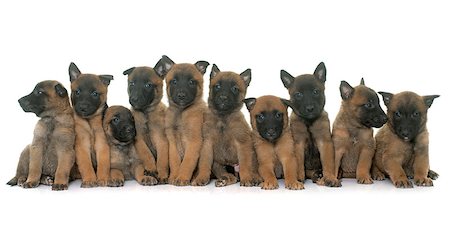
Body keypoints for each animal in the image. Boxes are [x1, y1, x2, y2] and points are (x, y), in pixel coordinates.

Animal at [156, 55, 209, 186]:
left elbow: (187, 162)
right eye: (174, 81)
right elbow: (175, 161)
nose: (181, 96)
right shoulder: (172, 143)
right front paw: (174, 176)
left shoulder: (194, 141)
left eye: (191, 82)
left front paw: (182, 177)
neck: (180, 112)